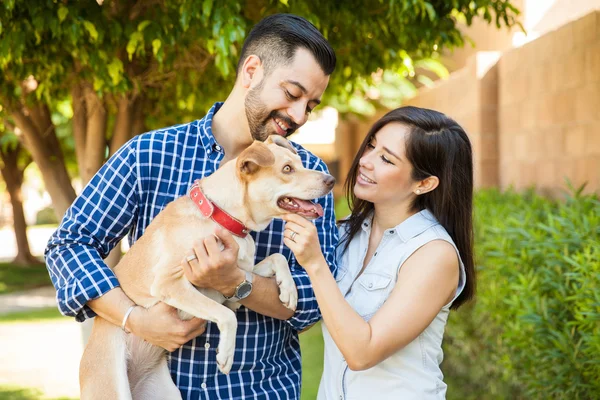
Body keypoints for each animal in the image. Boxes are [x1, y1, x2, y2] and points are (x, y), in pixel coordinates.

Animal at [77, 136, 336, 398]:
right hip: (112, 386)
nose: (331, 180)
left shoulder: (237, 278)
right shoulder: (169, 284)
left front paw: (288, 290)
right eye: (287, 169)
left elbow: (277, 258)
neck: (221, 215)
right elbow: (227, 316)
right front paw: (226, 355)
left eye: (299, 163)